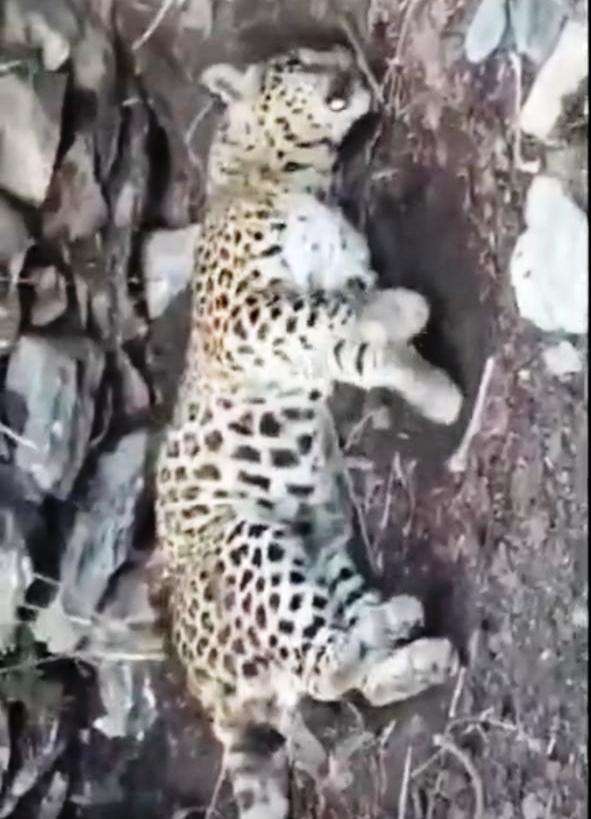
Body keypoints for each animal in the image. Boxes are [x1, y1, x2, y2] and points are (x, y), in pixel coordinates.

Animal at [155, 43, 463, 819]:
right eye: (296, 60)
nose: (349, 60)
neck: (293, 179)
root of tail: (205, 687)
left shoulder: (321, 324)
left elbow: (368, 347)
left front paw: (437, 393)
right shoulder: (249, 313)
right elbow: (327, 312)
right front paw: (408, 313)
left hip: (321, 552)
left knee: (341, 669)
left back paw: (406, 639)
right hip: (250, 541)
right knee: (325, 669)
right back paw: (390, 635)